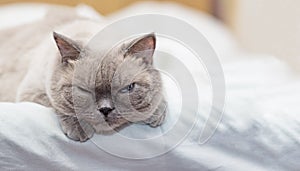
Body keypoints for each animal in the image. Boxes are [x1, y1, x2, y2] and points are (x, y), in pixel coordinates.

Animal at [0, 16, 166, 142]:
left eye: (128, 88)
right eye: (84, 90)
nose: (105, 109)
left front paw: (154, 114)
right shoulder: (31, 92)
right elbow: (61, 106)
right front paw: (80, 129)